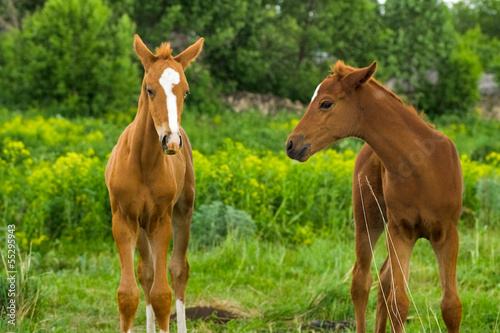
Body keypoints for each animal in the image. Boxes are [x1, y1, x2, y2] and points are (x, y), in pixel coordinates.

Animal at [105, 34, 203, 332]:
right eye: (149, 89)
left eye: (185, 92)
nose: (170, 141)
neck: (143, 163)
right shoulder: (123, 220)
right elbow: (128, 294)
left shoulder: (161, 221)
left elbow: (162, 295)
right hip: (141, 226)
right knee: (146, 273)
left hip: (183, 211)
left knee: (179, 271)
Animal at [288, 61, 462, 330]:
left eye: (325, 103)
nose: (291, 144)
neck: (423, 166)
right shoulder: (401, 232)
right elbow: (399, 304)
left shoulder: (447, 233)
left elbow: (451, 307)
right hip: (368, 219)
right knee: (362, 280)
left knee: (383, 280)